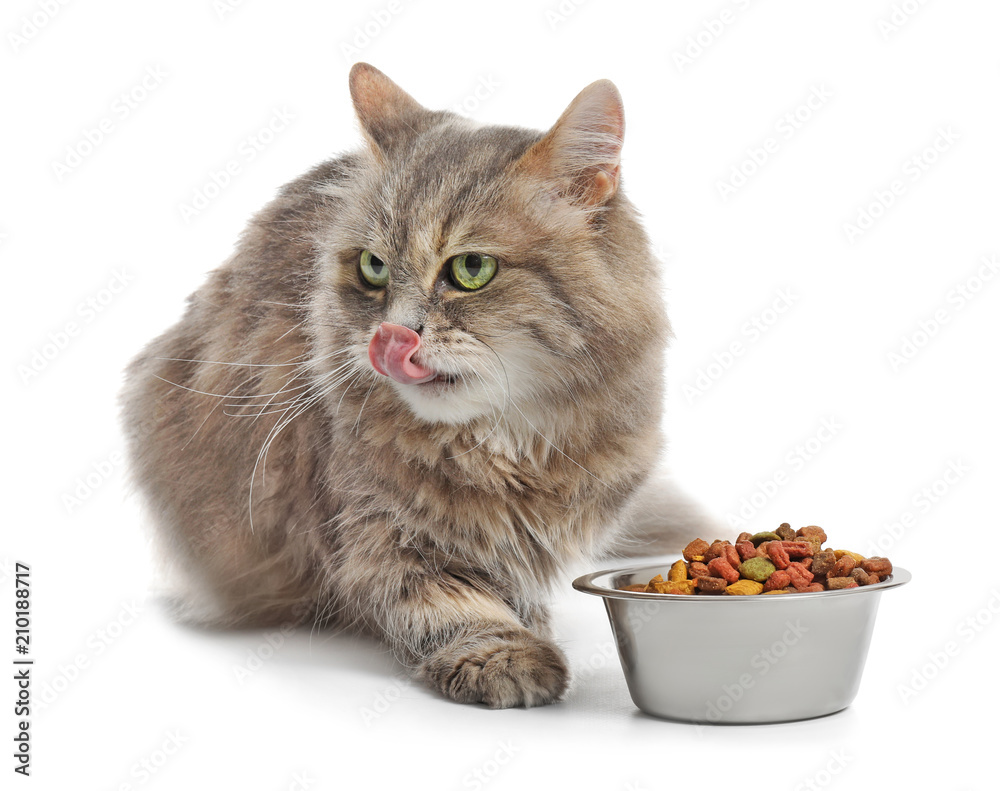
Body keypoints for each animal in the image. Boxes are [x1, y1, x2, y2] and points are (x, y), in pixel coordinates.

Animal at [119, 60, 696, 704]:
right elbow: (449, 606)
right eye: (373, 269)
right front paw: (510, 656)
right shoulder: (378, 539)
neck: (508, 445)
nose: (391, 337)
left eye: (472, 269)